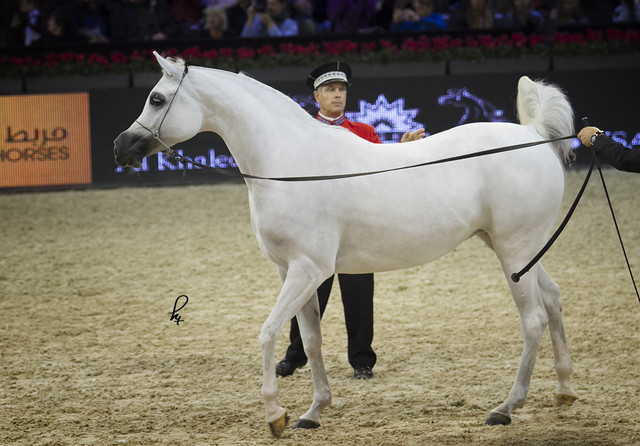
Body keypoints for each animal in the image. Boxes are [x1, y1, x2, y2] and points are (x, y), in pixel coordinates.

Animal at [114, 51, 578, 436]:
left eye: (156, 98)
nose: (121, 148)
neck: (291, 165)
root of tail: (536, 135)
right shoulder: (293, 272)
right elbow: (310, 340)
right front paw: (313, 412)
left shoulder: (307, 269)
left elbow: (268, 332)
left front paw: (275, 415)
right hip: (518, 251)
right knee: (554, 299)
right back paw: (564, 390)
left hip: (514, 250)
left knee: (533, 319)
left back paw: (506, 408)